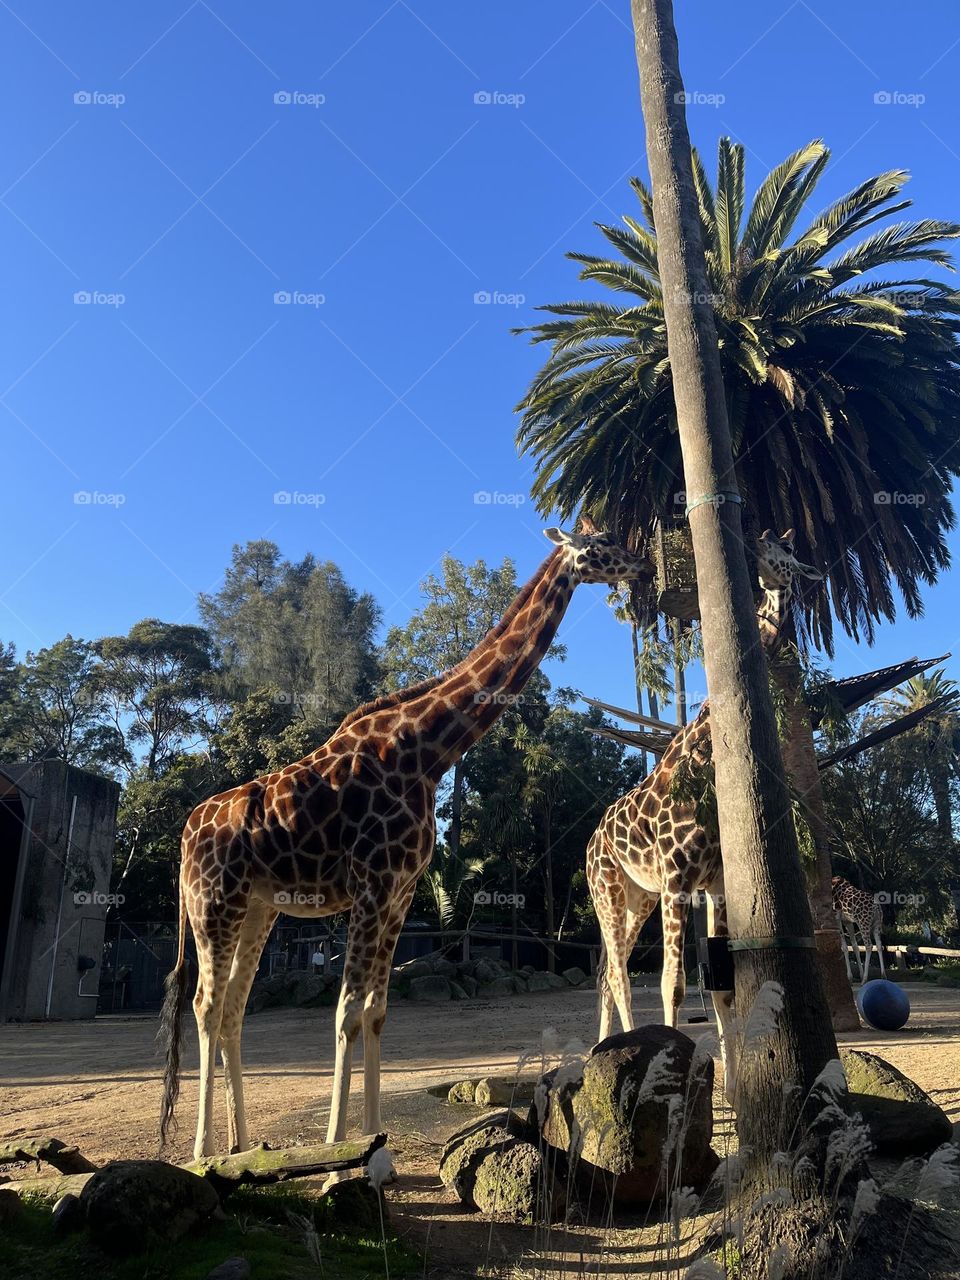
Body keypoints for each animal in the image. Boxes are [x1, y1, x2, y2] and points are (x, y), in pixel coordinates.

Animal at [159, 522, 653, 1161]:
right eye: (600, 545)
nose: (643, 565)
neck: (427, 750)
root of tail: (184, 836)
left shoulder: (399, 894)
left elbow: (376, 1012)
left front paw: (376, 1142)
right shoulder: (372, 886)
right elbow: (346, 1013)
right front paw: (335, 1155)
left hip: (258, 910)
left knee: (234, 1010)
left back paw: (244, 1146)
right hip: (213, 904)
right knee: (206, 1004)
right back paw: (202, 1152)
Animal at [586, 530, 821, 1100]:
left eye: (785, 552)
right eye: (771, 543)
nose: (756, 544)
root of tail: (590, 842)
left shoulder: (713, 886)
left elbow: (722, 989)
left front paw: (734, 1092)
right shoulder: (677, 880)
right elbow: (672, 984)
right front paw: (666, 1077)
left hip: (638, 899)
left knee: (606, 971)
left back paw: (601, 1049)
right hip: (608, 891)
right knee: (619, 973)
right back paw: (617, 1051)